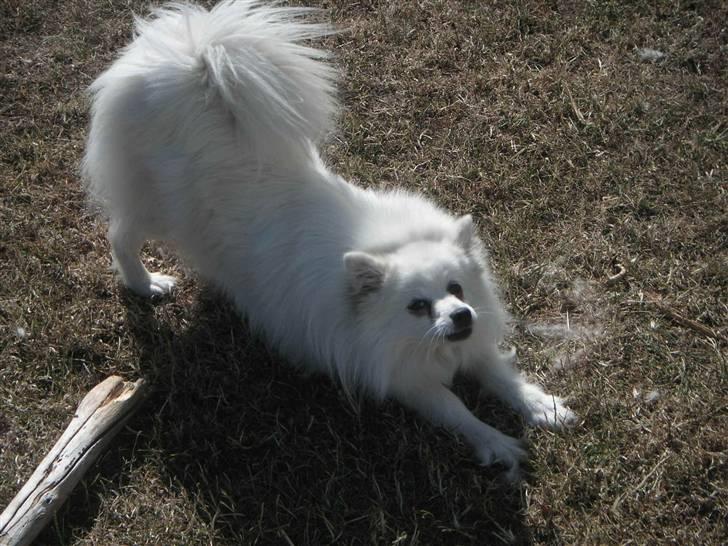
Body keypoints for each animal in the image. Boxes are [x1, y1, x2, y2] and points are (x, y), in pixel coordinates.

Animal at [84, 1, 576, 476]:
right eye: (417, 306)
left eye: (457, 289)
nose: (460, 315)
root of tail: (186, 56)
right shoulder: (403, 378)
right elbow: (457, 410)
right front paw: (497, 443)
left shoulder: (471, 343)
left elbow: (502, 375)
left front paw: (542, 406)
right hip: (154, 210)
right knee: (119, 234)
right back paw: (146, 284)